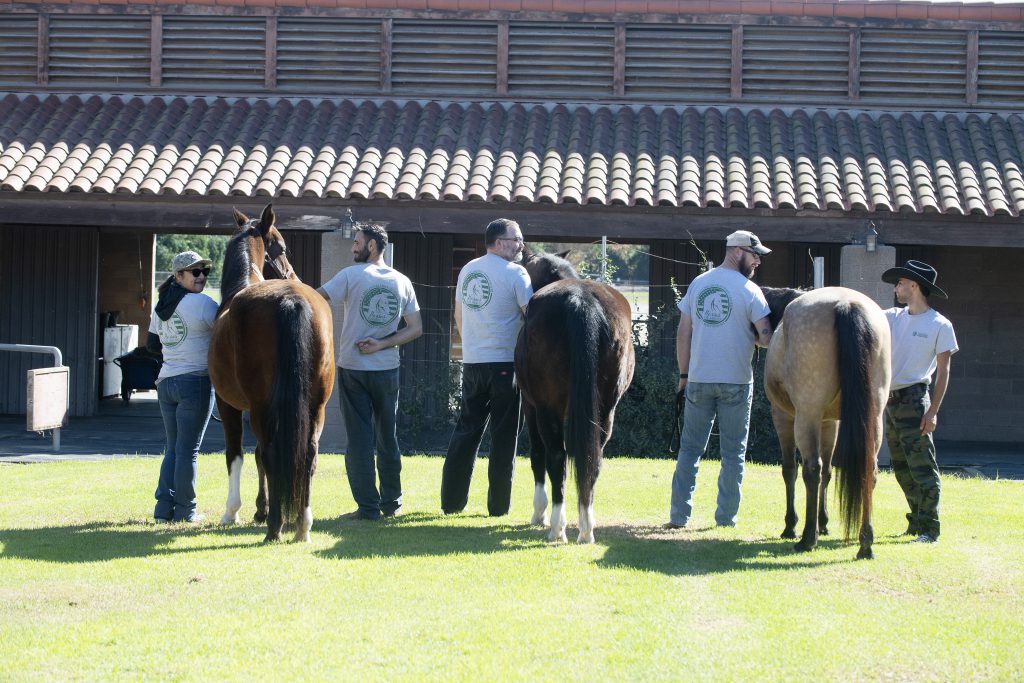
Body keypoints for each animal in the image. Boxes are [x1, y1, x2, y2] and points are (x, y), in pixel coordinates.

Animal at [208, 204, 335, 542]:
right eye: (282, 247)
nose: (293, 273)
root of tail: (291, 298)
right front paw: (260, 509)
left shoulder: (229, 404)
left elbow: (237, 454)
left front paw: (234, 511)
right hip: (316, 406)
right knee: (308, 454)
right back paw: (302, 524)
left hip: (260, 407)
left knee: (270, 452)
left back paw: (275, 526)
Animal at [514, 251, 636, 543]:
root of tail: (581, 301)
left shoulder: (531, 406)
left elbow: (537, 455)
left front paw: (539, 513)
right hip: (606, 410)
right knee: (594, 459)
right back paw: (586, 527)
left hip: (547, 409)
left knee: (555, 458)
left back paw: (557, 527)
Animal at [762, 286, 891, 559]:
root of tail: (846, 304)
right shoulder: (830, 423)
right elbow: (829, 472)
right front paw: (823, 522)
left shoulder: (783, 417)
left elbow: (790, 470)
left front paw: (791, 525)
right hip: (873, 417)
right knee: (868, 470)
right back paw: (865, 543)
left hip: (805, 416)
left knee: (811, 469)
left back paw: (807, 538)